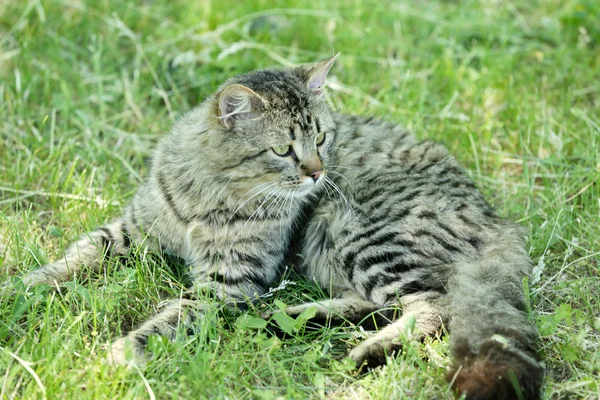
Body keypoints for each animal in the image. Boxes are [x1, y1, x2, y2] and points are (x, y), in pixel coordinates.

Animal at [9, 54, 544, 398]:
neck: (212, 191)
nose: (318, 173)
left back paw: (356, 352)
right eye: (283, 149)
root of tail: (498, 221)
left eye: (322, 139)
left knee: (432, 309)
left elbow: (170, 319)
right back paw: (288, 319)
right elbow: (74, 258)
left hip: (361, 232)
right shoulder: (130, 231)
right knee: (374, 305)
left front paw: (119, 353)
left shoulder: (227, 283)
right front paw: (22, 288)